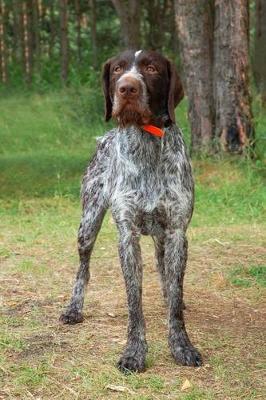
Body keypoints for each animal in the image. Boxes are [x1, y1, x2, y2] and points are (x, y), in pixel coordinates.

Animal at [59, 49, 202, 372]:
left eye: (151, 68)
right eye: (117, 69)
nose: (126, 88)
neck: (146, 141)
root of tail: (104, 138)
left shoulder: (177, 232)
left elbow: (175, 294)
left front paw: (181, 345)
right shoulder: (127, 235)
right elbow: (133, 301)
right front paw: (134, 352)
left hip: (163, 239)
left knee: (165, 273)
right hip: (87, 225)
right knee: (83, 269)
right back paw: (74, 308)